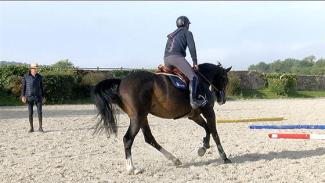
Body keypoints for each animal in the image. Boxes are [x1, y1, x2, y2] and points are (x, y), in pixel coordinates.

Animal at [92, 62, 232, 174]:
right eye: (225, 79)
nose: (222, 100)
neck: (201, 80)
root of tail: (121, 82)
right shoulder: (209, 111)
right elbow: (214, 132)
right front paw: (224, 157)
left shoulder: (194, 115)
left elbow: (207, 129)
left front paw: (204, 147)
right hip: (137, 117)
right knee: (128, 139)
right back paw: (132, 168)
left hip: (143, 117)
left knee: (149, 138)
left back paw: (174, 159)